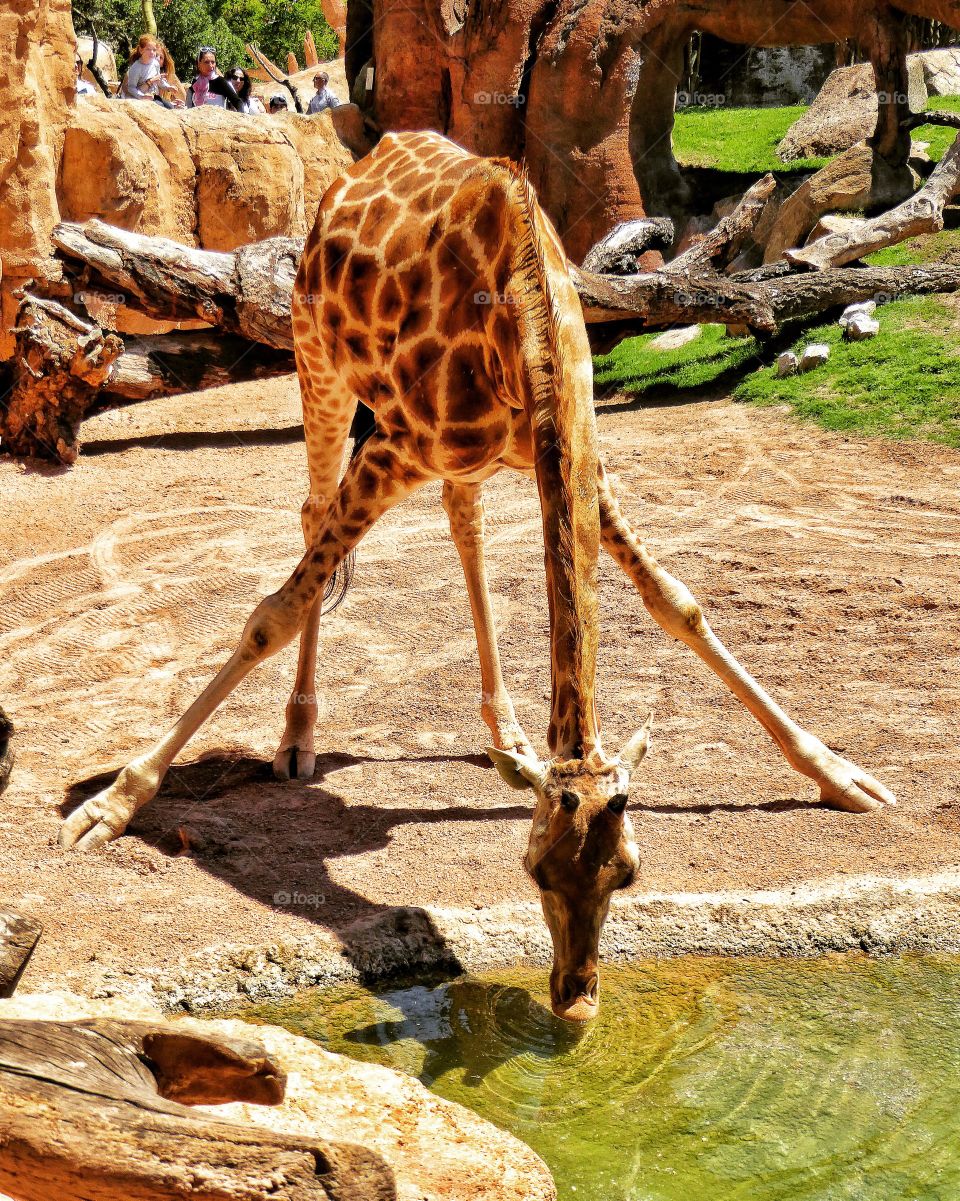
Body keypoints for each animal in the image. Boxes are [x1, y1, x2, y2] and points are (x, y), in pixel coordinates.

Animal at [60, 131, 896, 1022]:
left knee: (464, 528)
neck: (525, 318)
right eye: (532, 868)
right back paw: (296, 740)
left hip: (457, 454)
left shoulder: (572, 456)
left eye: (628, 871)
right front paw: (111, 804)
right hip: (319, 364)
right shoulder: (394, 445)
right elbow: (271, 613)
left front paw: (840, 774)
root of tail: (357, 167)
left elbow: (677, 602)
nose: (576, 997)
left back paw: (507, 732)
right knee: (313, 519)